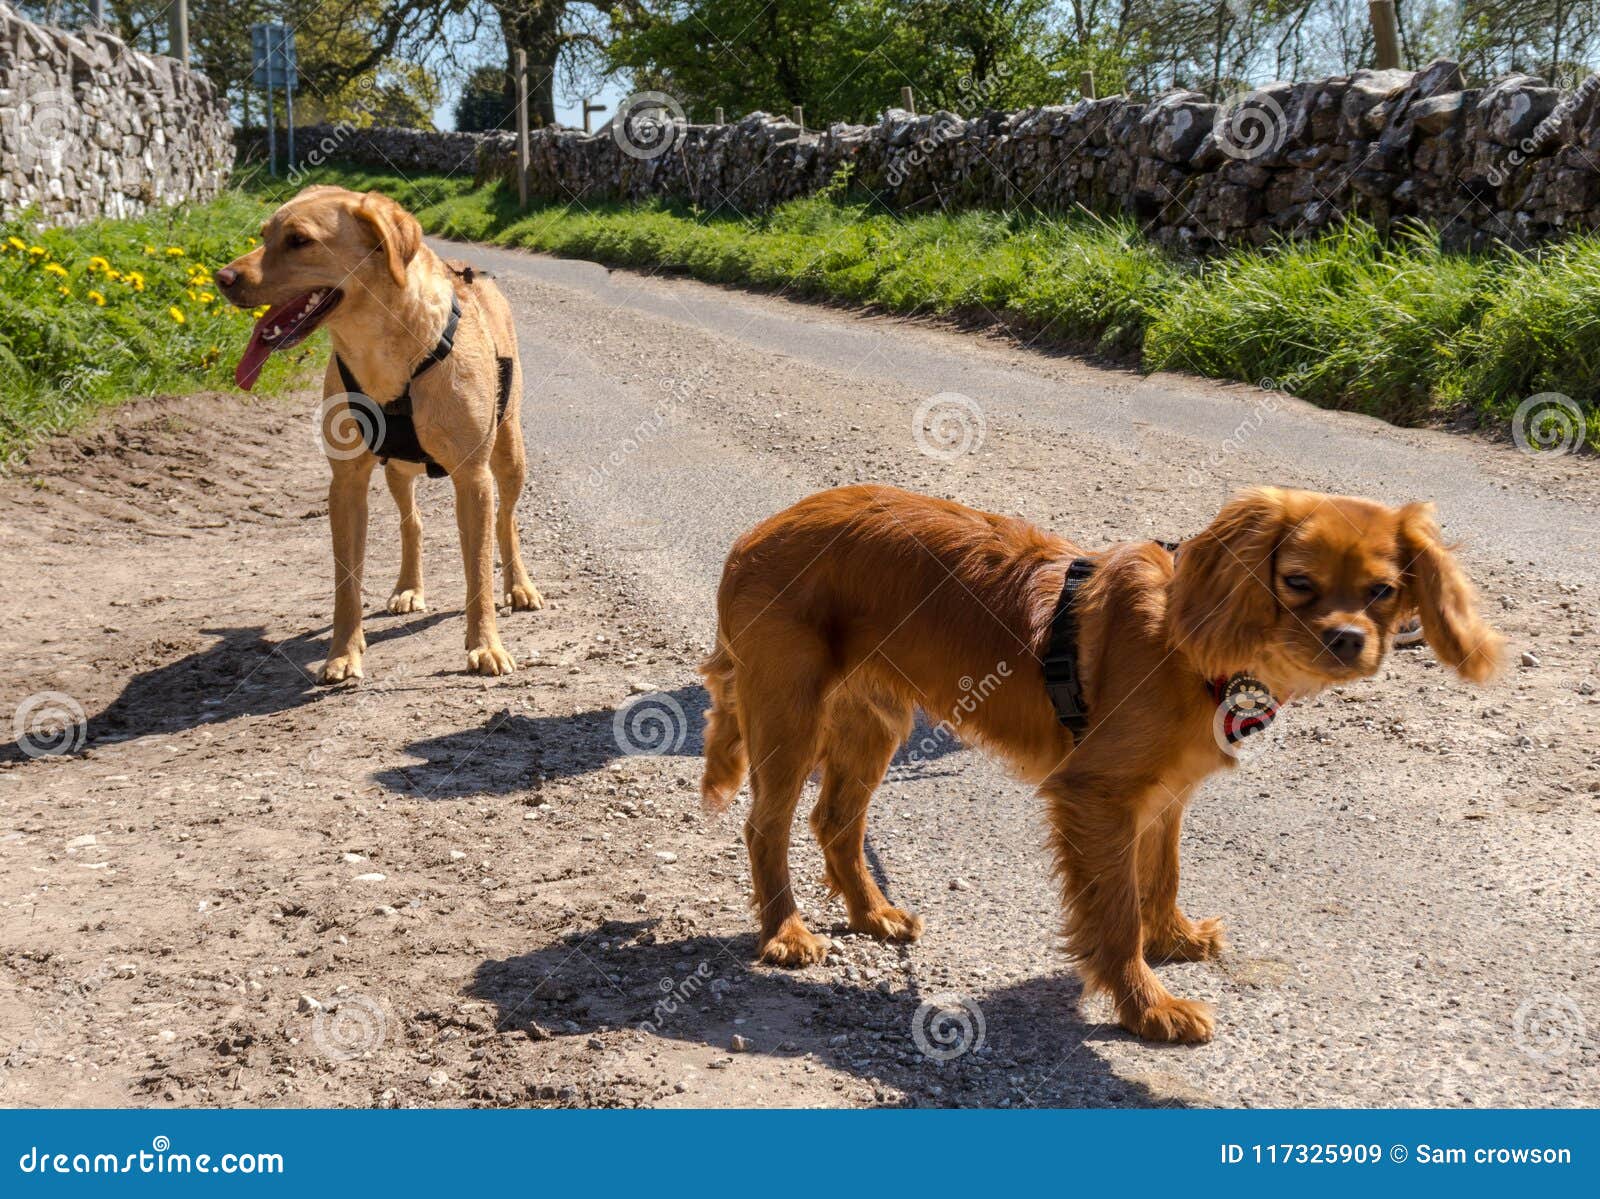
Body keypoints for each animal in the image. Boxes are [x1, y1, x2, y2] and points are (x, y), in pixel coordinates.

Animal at [216, 182, 540, 678]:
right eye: (264, 235)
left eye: (299, 240)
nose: (221, 277)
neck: (382, 348)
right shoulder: (346, 483)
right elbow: (346, 580)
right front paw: (343, 652)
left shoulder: (473, 478)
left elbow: (479, 572)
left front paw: (486, 645)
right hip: (398, 470)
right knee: (413, 521)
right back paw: (409, 587)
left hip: (508, 454)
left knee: (507, 520)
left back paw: (519, 586)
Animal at [700, 480, 1497, 1043]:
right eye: (1297, 581)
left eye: (1383, 590)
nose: (1347, 640)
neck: (1192, 642)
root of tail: (755, 533)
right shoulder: (1096, 795)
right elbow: (1114, 914)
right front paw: (1149, 1008)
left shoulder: (1164, 796)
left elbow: (1160, 877)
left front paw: (1172, 937)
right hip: (791, 715)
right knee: (766, 825)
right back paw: (785, 933)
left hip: (874, 719)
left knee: (836, 820)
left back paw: (872, 914)